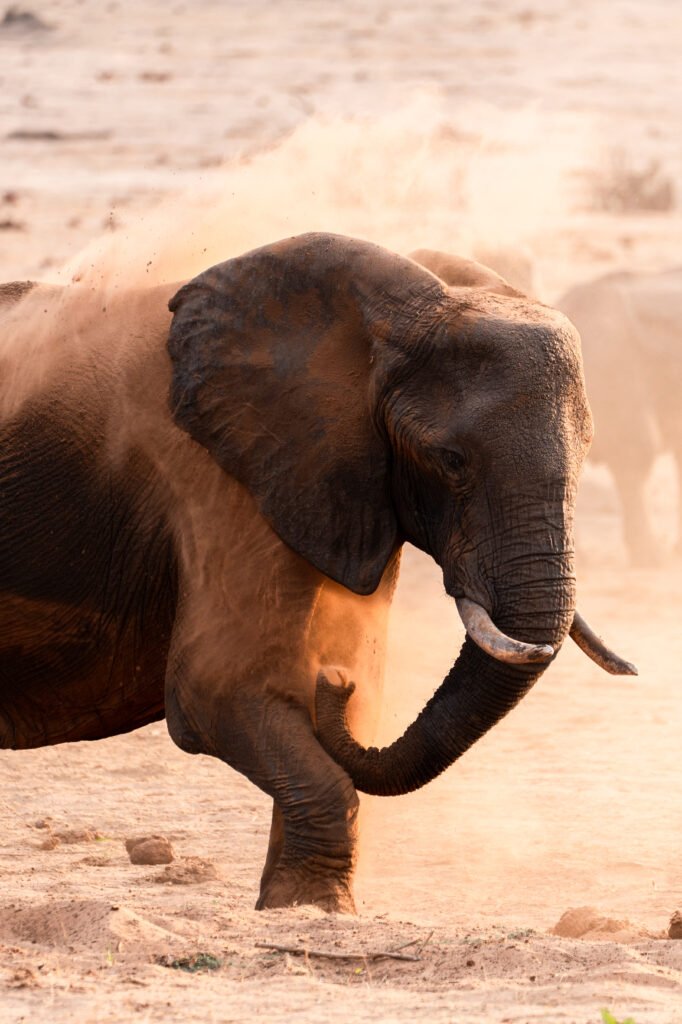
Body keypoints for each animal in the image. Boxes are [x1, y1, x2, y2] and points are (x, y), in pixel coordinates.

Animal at [0, 233, 635, 913]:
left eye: (589, 448)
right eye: (450, 461)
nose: (336, 684)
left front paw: (302, 907)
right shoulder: (217, 475)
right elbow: (217, 686)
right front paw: (311, 905)